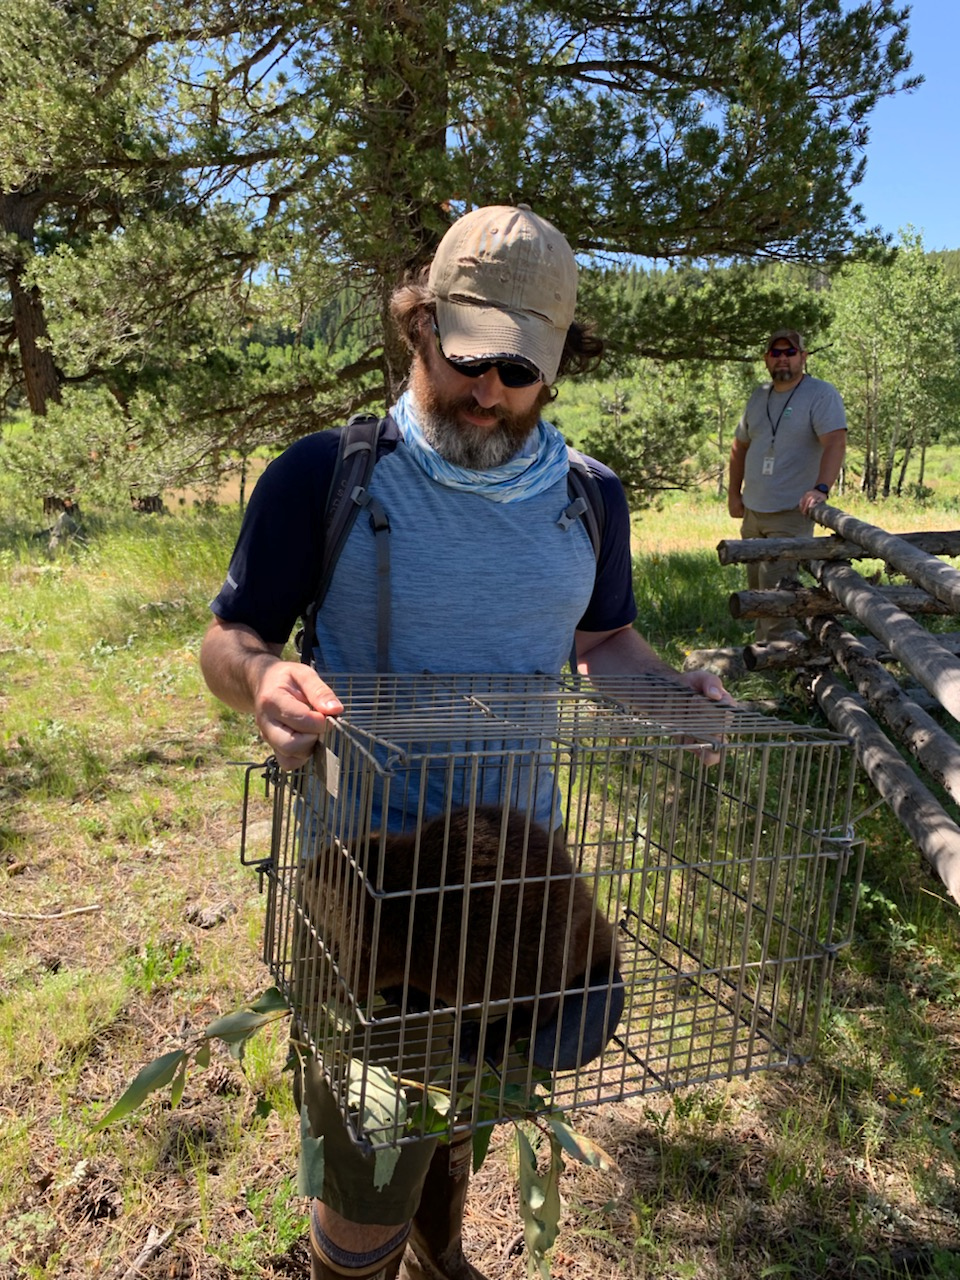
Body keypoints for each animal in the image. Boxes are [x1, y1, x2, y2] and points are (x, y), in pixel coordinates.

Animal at [296, 808, 627, 1070]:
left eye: (321, 876)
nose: (304, 873)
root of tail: (607, 959)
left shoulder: (377, 944)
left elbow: (356, 982)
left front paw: (320, 995)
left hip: (544, 960)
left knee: (537, 1012)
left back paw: (477, 1040)